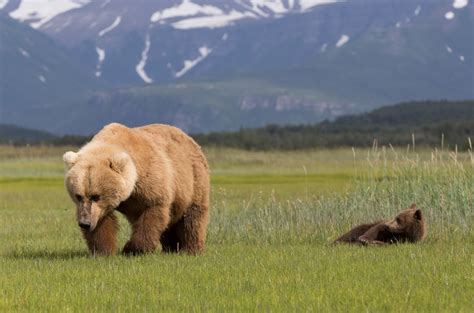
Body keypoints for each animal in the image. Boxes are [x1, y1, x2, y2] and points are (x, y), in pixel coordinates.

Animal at [62, 121, 209, 254]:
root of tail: (187, 136)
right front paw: (103, 250)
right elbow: (102, 222)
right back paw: (171, 248)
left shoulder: (150, 182)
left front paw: (131, 249)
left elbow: (152, 214)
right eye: (78, 196)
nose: (84, 223)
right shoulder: (107, 206)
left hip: (193, 177)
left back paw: (191, 249)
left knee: (192, 216)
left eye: (96, 196)